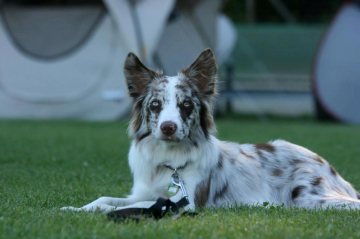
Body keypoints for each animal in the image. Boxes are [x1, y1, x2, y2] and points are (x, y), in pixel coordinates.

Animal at [62, 48, 360, 213]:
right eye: (155, 104)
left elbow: (132, 207)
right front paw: (74, 208)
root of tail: (329, 166)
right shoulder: (144, 192)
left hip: (310, 198)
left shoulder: (187, 202)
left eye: (185, 105)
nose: (168, 128)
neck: (169, 161)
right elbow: (106, 199)